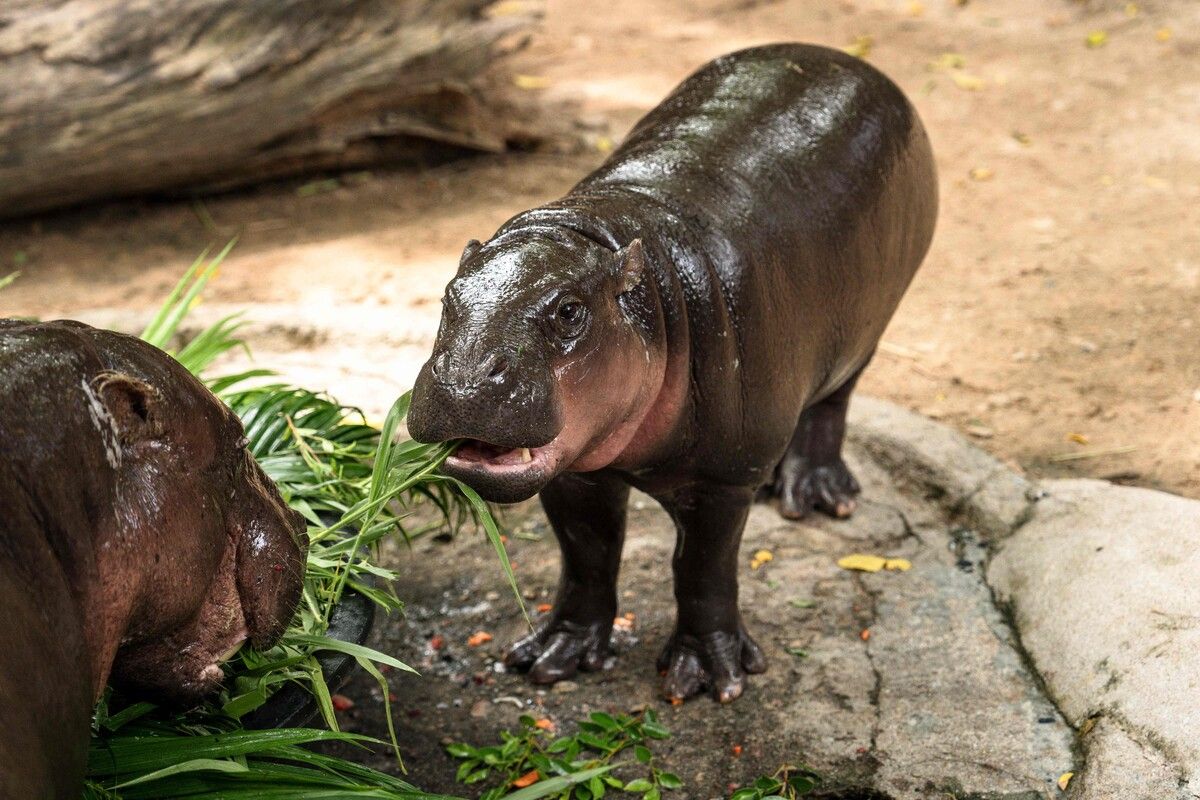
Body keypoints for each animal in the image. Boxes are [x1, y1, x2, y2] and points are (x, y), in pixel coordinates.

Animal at [408, 43, 937, 703]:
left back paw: (814, 496)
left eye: (569, 310)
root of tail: (846, 57)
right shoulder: (574, 472)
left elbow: (702, 569)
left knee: (831, 405)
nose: (464, 379)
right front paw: (554, 655)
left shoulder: (721, 480)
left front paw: (709, 678)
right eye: (448, 295)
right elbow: (587, 554)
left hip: (866, 333)